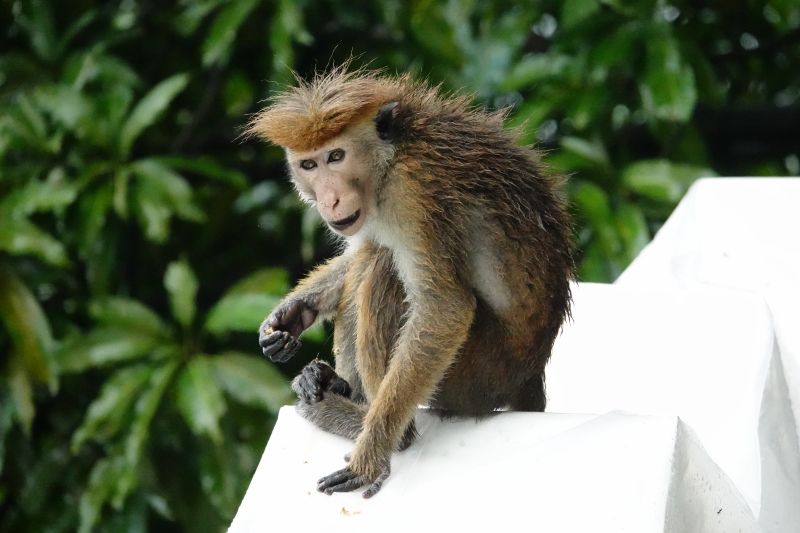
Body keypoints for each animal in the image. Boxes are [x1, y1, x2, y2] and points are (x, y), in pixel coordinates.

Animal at [247, 67, 574, 498]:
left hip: (475, 376)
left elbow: (443, 308)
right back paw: (334, 385)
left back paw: (382, 430)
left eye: (336, 156)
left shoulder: (412, 195)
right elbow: (359, 251)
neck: (393, 156)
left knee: (384, 268)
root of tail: (531, 371)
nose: (330, 200)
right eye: (309, 165)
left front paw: (371, 456)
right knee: (371, 256)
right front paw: (291, 314)